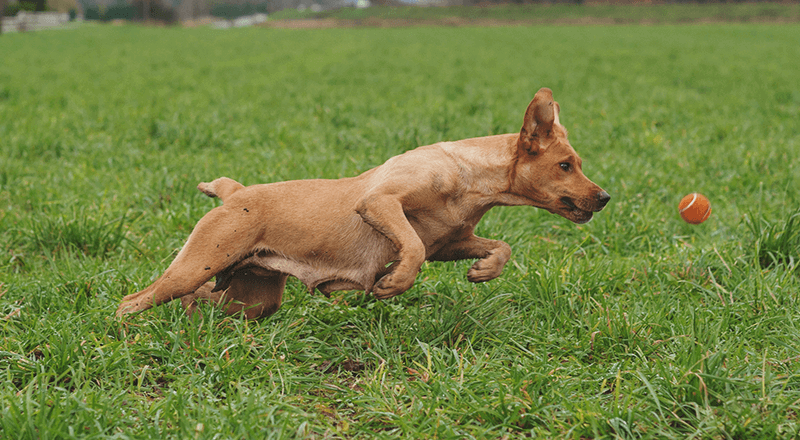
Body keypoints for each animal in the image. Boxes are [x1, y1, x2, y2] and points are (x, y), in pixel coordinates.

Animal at [115, 87, 608, 320]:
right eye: (566, 165)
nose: (604, 197)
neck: (469, 177)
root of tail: (236, 193)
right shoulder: (381, 203)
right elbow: (410, 246)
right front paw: (393, 283)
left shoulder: (452, 242)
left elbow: (498, 247)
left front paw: (484, 271)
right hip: (201, 262)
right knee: (133, 301)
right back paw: (124, 337)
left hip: (251, 295)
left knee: (201, 301)